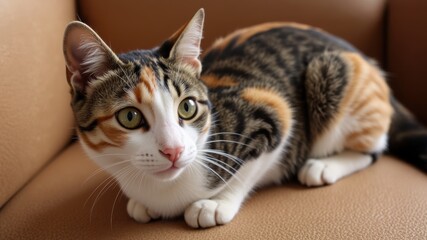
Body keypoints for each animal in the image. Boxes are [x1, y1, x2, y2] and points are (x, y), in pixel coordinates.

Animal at [62, 8, 427, 228]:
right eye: (129, 117)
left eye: (187, 108)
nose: (174, 151)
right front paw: (140, 202)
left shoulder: (272, 111)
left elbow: (253, 164)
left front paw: (215, 204)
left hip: (332, 73)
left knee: (373, 149)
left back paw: (323, 167)